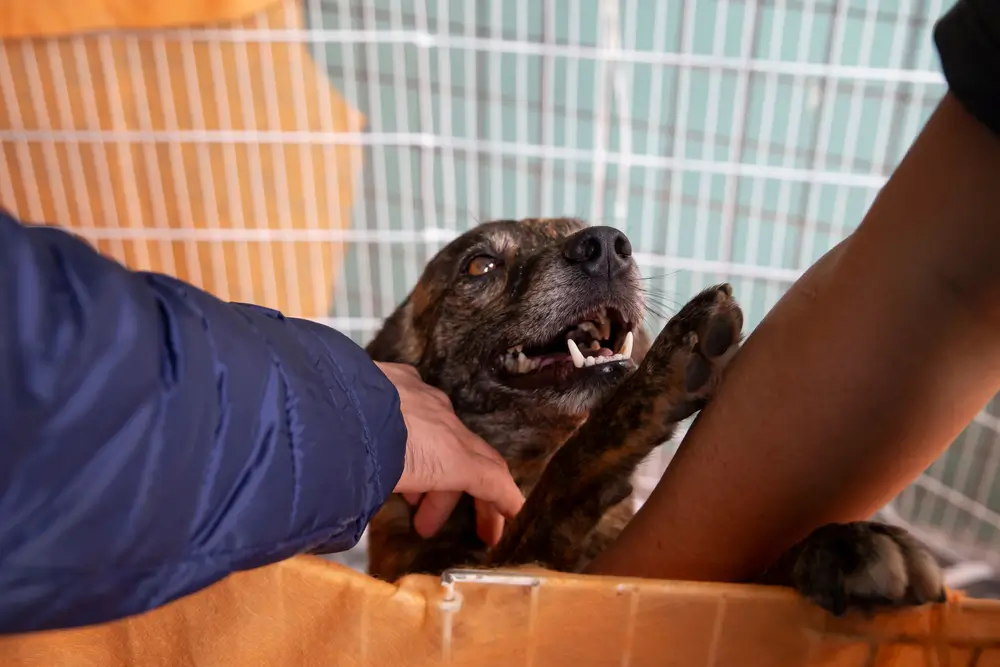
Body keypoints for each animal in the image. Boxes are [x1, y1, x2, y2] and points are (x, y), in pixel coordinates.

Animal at [360, 218, 944, 616]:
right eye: (480, 266)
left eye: (579, 226)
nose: (605, 247)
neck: (526, 462)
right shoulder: (473, 575)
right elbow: (567, 470)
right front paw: (658, 374)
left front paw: (839, 542)